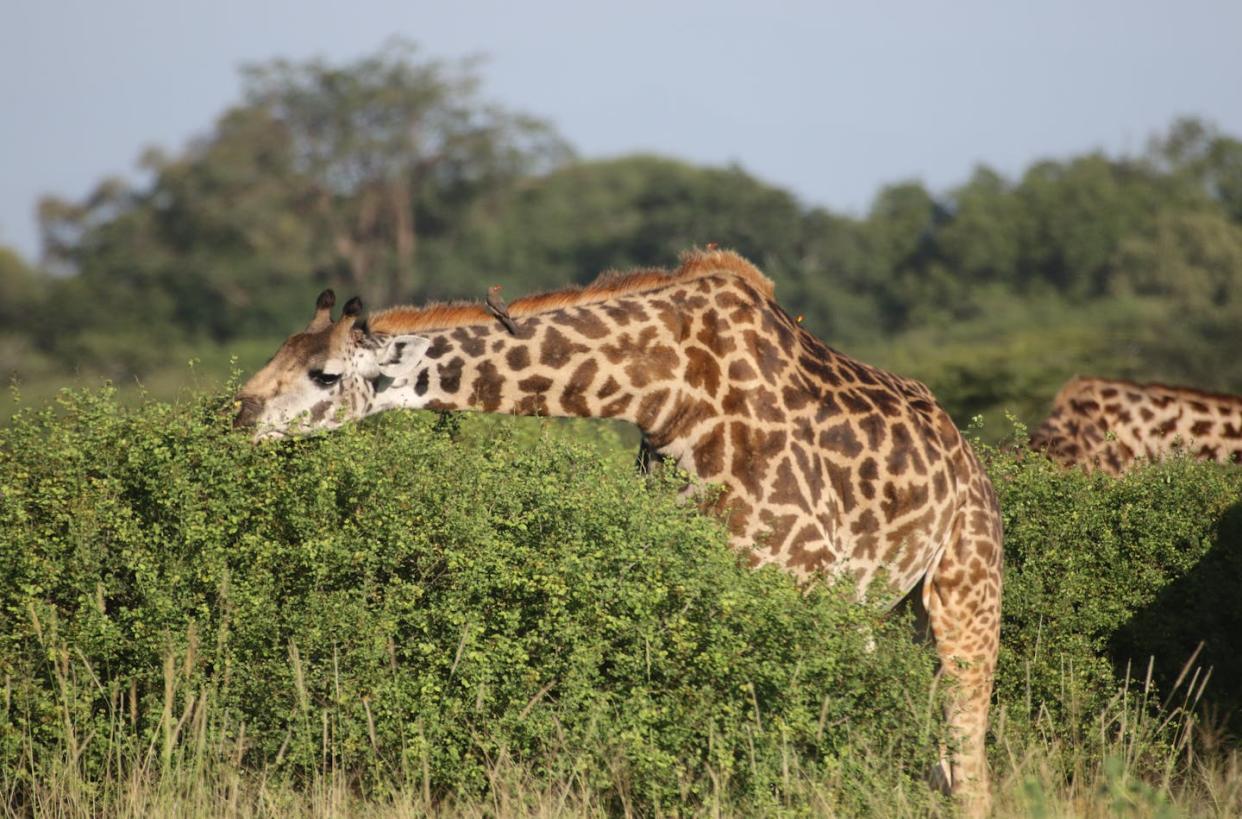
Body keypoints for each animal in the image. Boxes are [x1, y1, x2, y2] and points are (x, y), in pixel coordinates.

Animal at [233, 249, 1003, 815]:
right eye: (276, 354)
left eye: (323, 373)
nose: (237, 417)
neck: (666, 392)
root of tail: (969, 459)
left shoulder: (804, 582)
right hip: (882, 611)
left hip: (962, 593)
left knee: (966, 757)